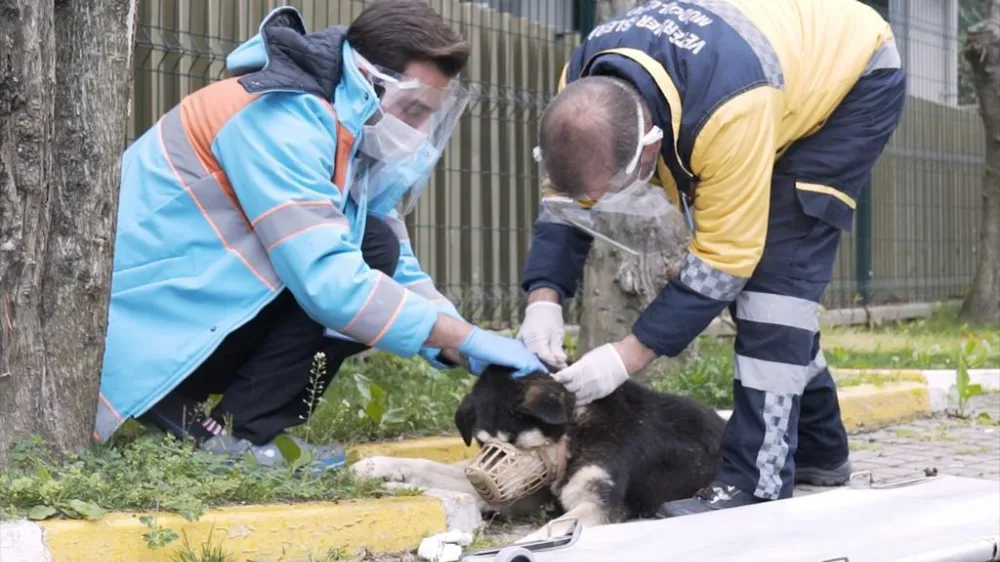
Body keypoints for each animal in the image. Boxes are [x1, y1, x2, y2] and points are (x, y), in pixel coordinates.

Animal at [352, 358, 728, 540]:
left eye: (516, 443)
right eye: (484, 443)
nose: (482, 483)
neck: (576, 429)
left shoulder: (601, 505)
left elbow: (547, 532)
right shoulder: (526, 490)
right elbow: (428, 466)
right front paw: (378, 468)